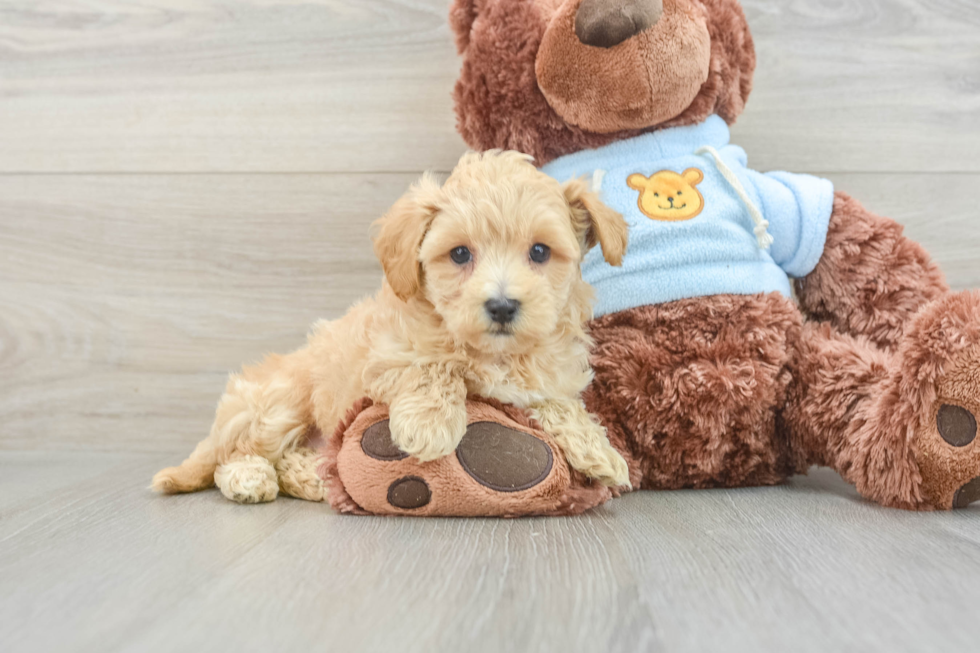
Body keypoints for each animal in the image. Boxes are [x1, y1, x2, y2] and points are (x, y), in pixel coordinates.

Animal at [151, 152, 628, 504]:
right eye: (459, 254)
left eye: (540, 251)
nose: (502, 306)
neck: (493, 353)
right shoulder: (384, 356)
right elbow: (432, 366)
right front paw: (429, 424)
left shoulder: (543, 378)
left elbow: (558, 401)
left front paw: (598, 449)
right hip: (279, 405)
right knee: (234, 454)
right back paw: (252, 477)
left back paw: (312, 475)